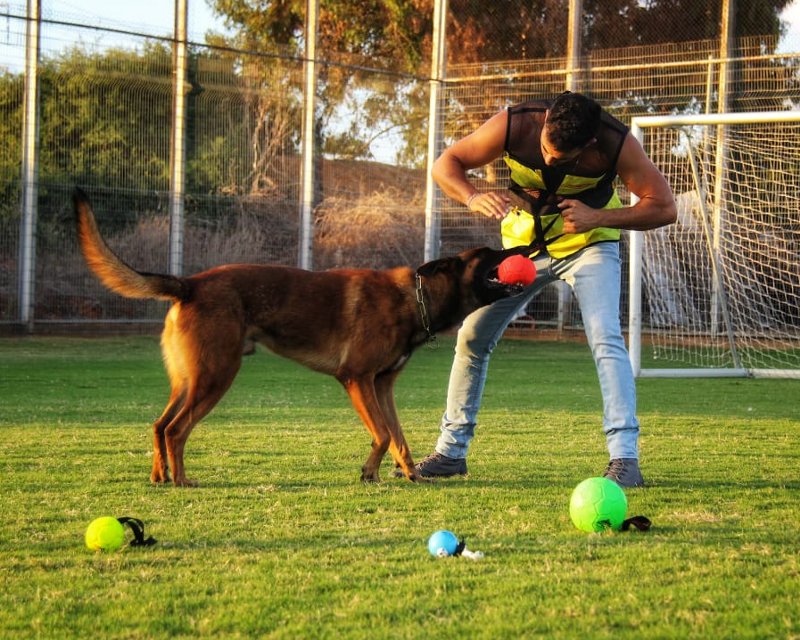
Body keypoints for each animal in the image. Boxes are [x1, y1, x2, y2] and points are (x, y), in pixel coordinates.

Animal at [72, 188, 528, 488]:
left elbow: (398, 436)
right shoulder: (357, 379)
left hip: (190, 379)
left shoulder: (382, 386)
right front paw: (369, 472)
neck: (414, 297)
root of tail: (190, 284)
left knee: (159, 425)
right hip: (216, 376)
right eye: (488, 254)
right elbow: (383, 434)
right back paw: (183, 480)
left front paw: (411, 474)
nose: (526, 247)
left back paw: (160, 475)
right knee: (176, 430)